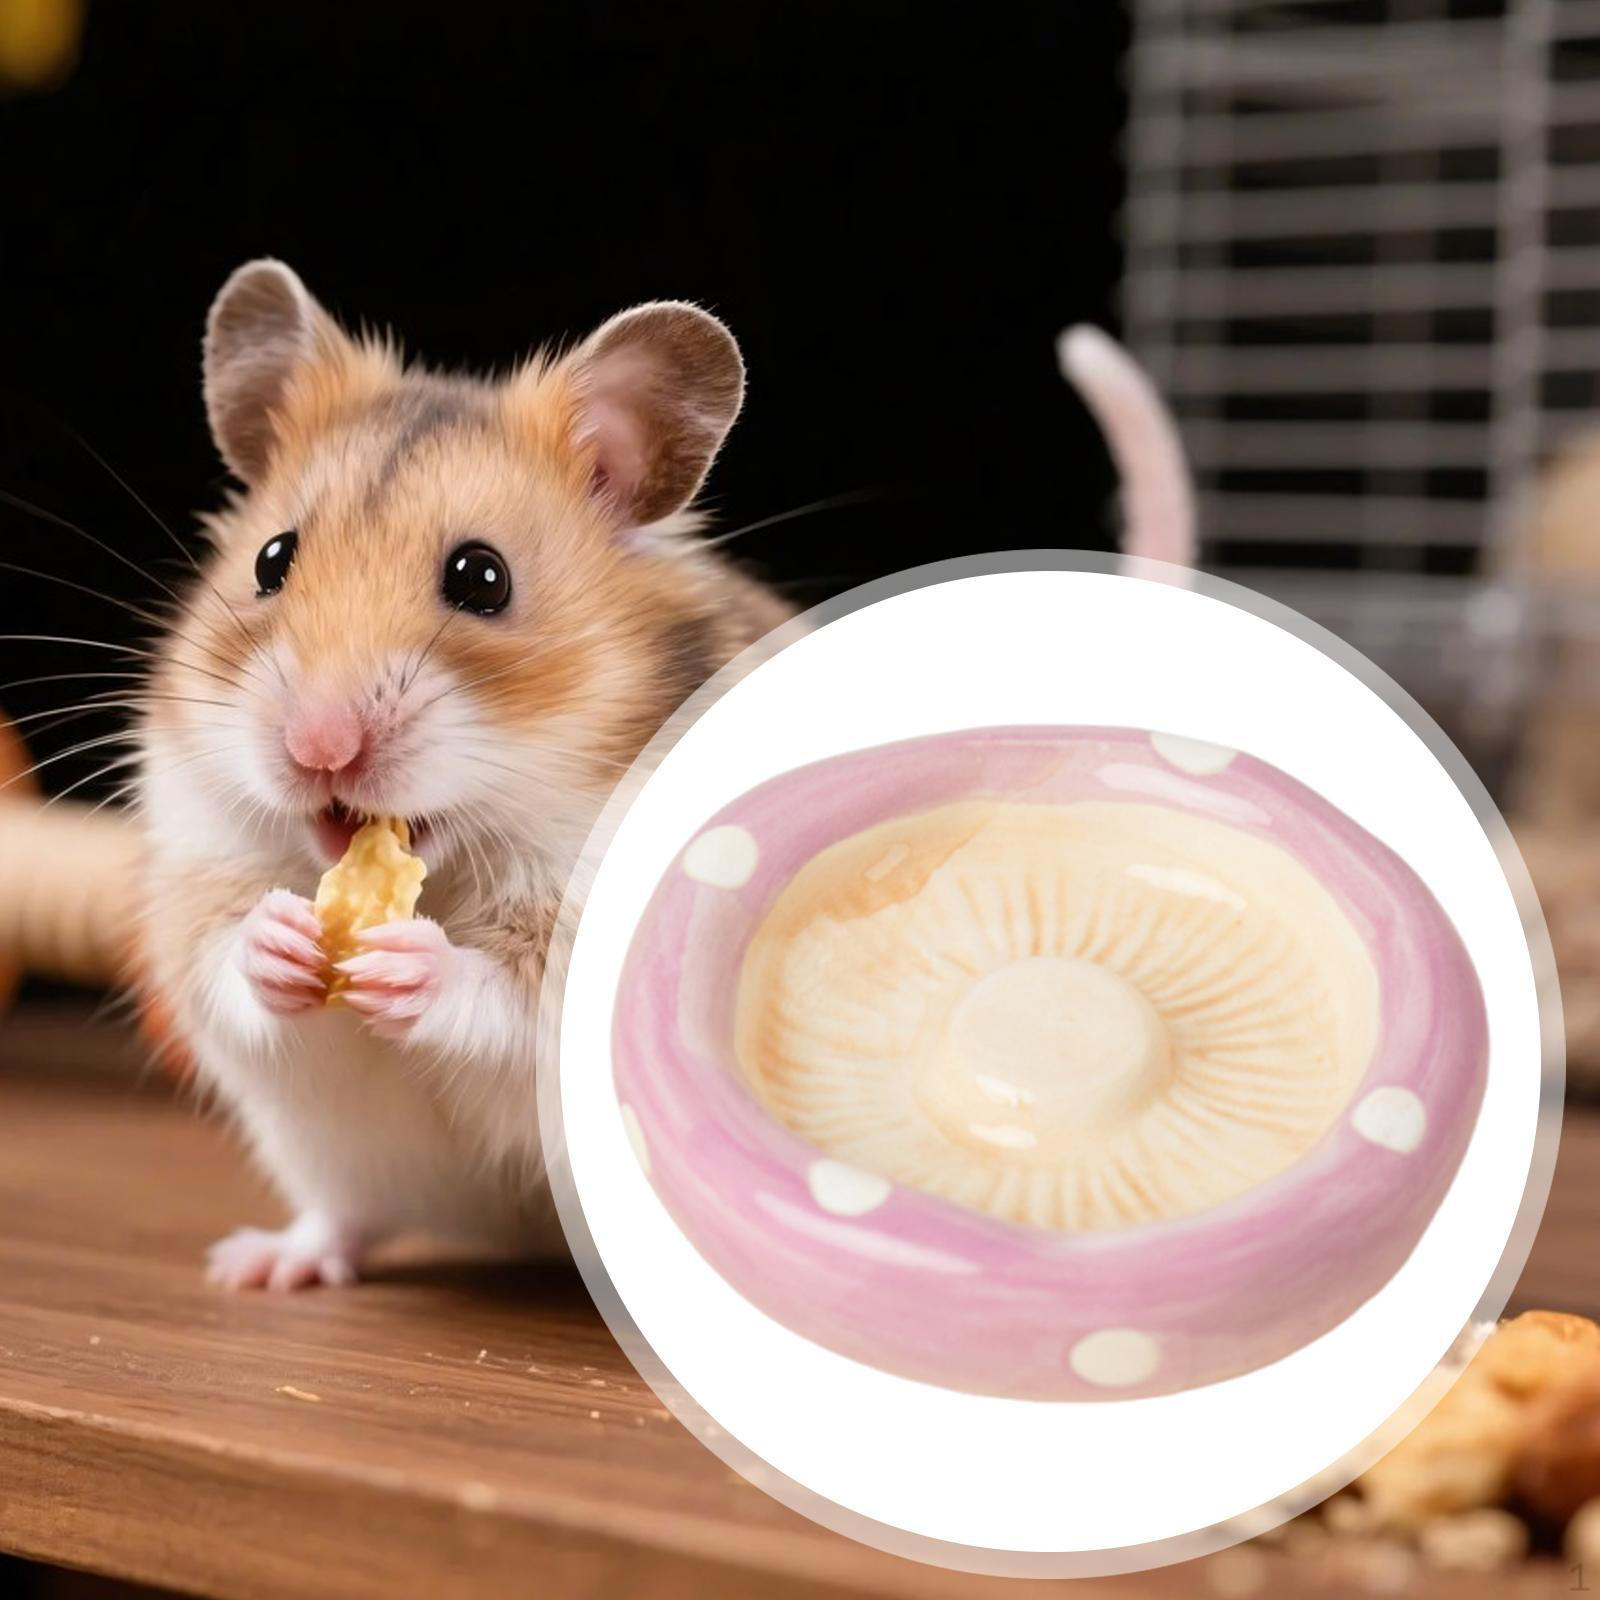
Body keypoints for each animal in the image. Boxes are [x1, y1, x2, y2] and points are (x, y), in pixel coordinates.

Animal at [137, 260, 791, 1288]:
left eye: (483, 578)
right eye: (272, 559)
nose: (317, 749)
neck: (463, 857)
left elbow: (517, 994)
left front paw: (410, 964)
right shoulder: (195, 856)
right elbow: (219, 951)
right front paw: (284, 938)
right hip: (325, 1155)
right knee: (345, 1217)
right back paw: (261, 1267)